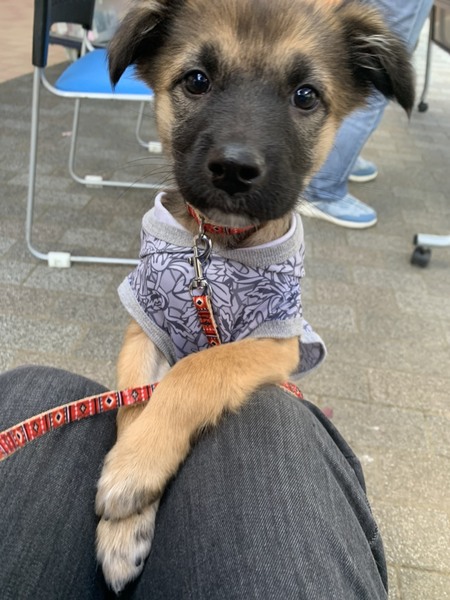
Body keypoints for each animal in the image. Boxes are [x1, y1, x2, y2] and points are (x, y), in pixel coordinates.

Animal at [95, 0, 414, 592]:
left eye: (306, 95)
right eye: (196, 80)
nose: (234, 169)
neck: (215, 246)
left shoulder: (277, 341)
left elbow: (199, 370)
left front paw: (132, 469)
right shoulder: (144, 322)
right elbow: (132, 400)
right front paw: (125, 523)